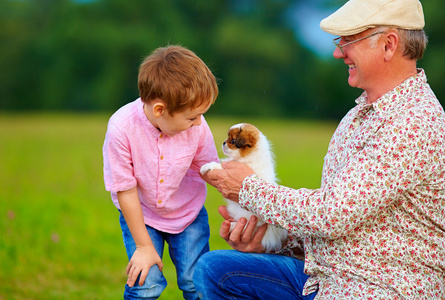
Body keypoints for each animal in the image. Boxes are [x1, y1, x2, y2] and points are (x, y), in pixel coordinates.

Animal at [200, 123, 288, 252]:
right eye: (228, 138)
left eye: (232, 140)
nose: (224, 143)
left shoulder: (231, 170)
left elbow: (220, 167)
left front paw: (207, 166)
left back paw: (232, 226)